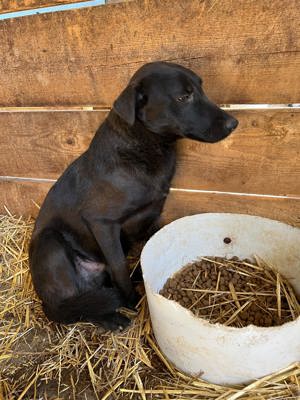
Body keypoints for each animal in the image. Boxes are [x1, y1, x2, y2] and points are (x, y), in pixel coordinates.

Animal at [29, 61, 238, 330]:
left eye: (201, 88)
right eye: (183, 97)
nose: (233, 123)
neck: (143, 144)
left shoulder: (152, 214)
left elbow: (147, 245)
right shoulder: (102, 223)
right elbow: (119, 265)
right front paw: (130, 300)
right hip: (50, 243)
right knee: (69, 309)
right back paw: (111, 317)